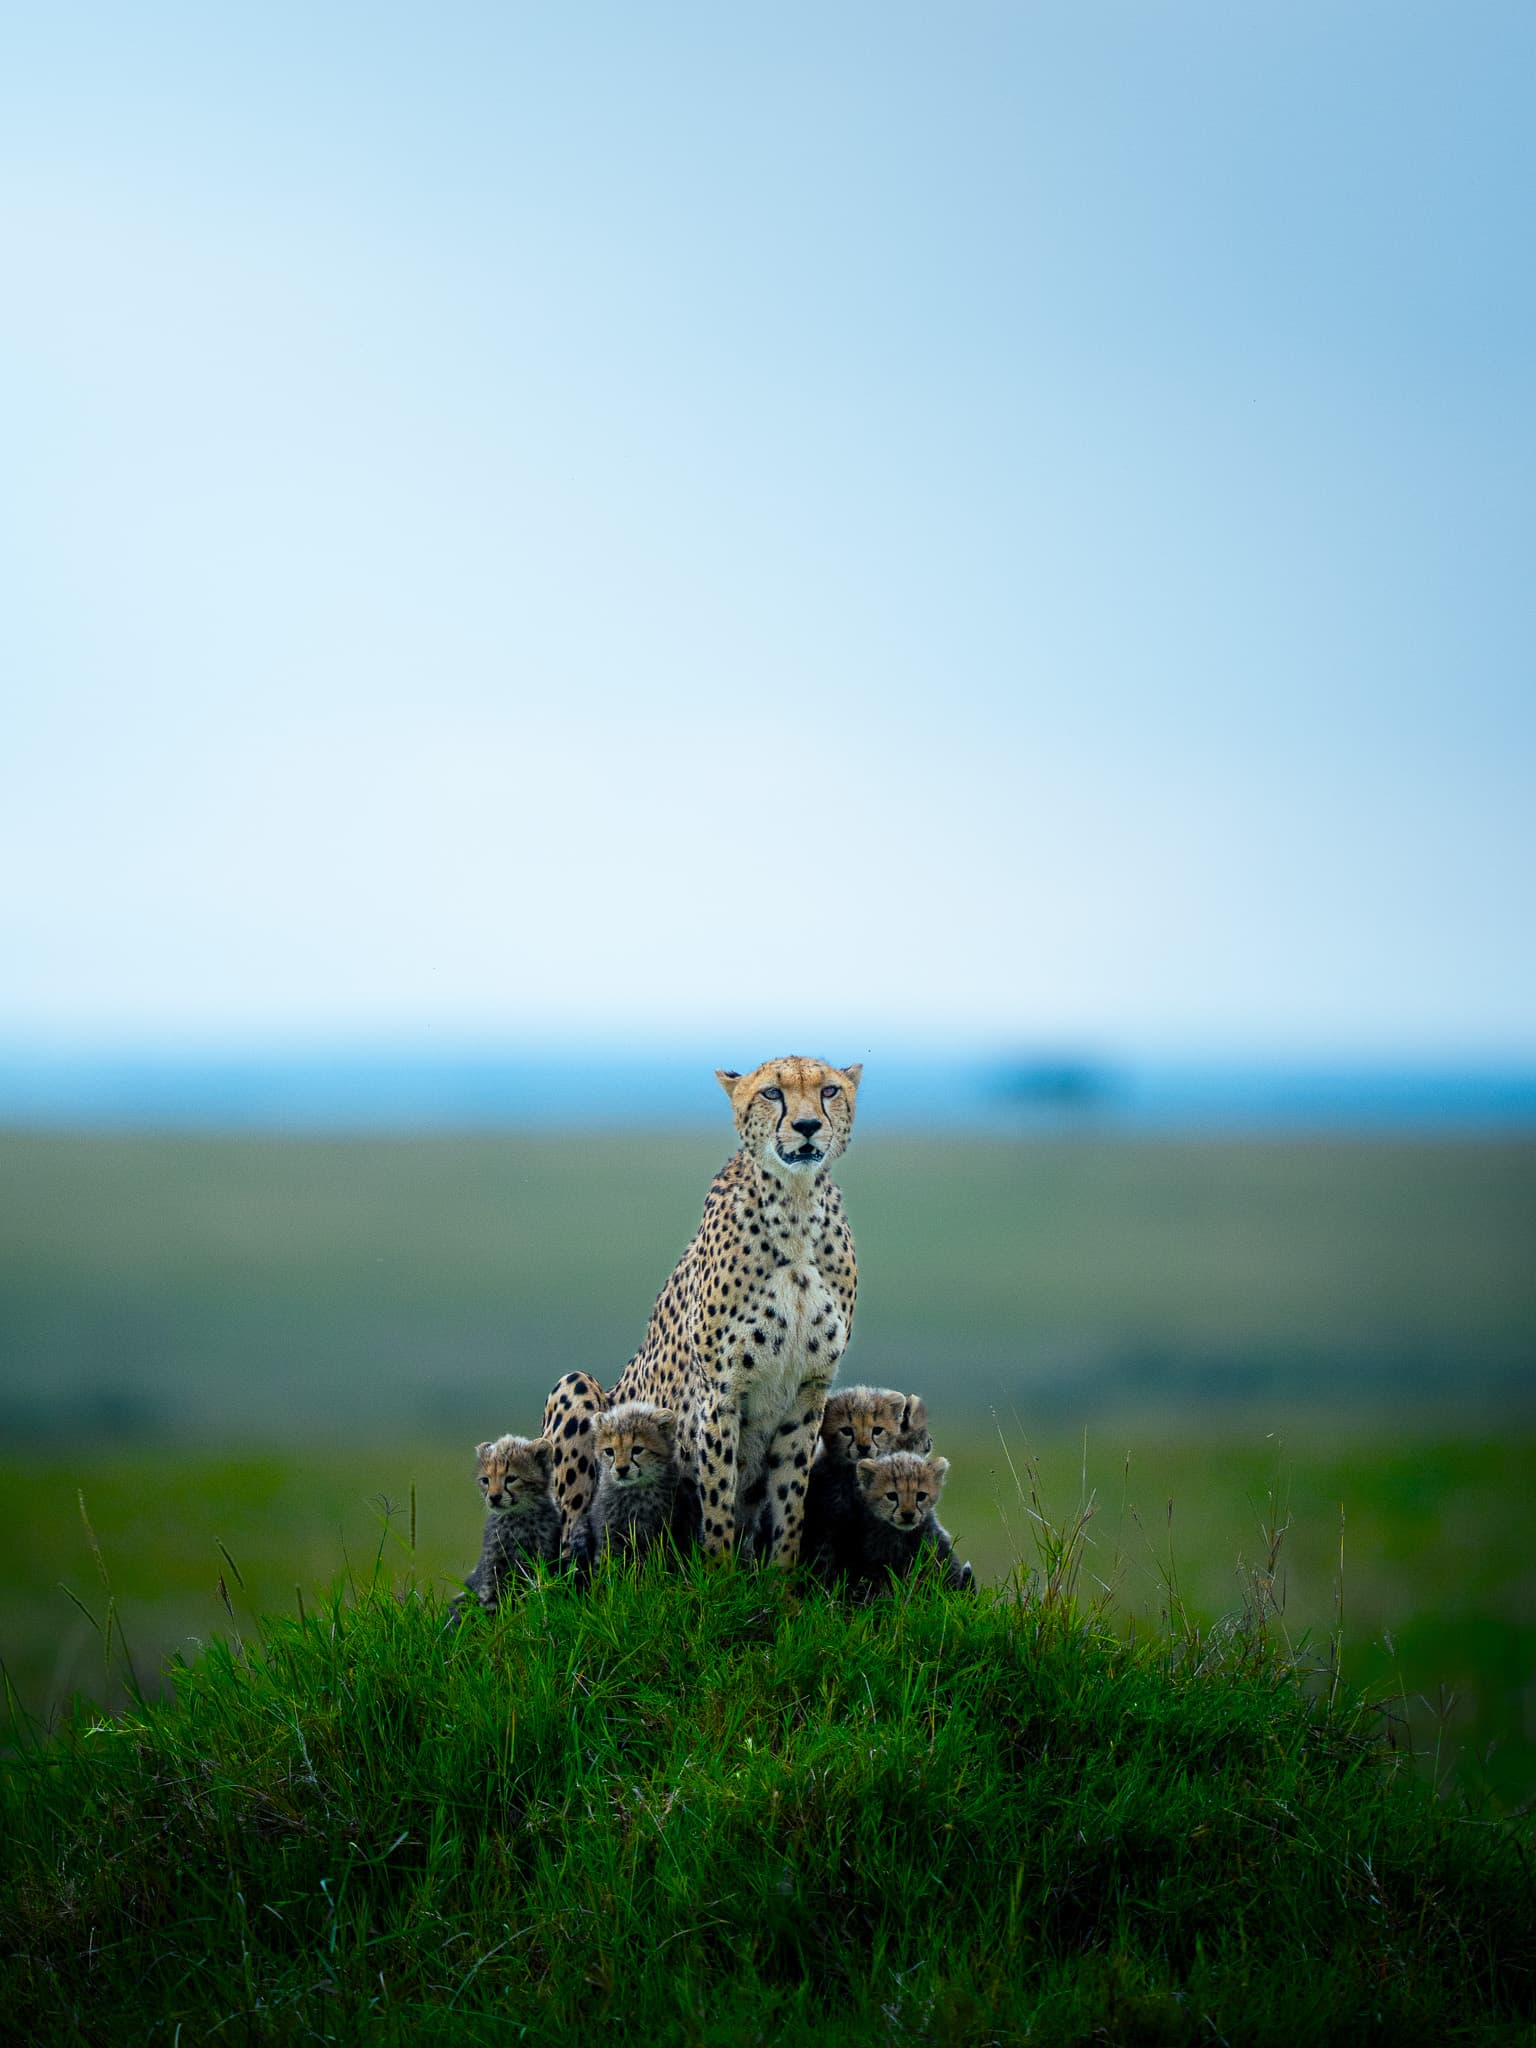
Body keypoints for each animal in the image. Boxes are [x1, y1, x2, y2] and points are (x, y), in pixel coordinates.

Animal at [541, 1054, 862, 1563]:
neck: (795, 1208)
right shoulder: (720, 1392)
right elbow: (717, 1497)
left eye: (828, 1090)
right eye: (772, 1093)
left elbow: (790, 1501)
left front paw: (781, 1574)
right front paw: (718, 1571)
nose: (808, 1125)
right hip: (577, 1389)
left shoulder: (809, 1391)